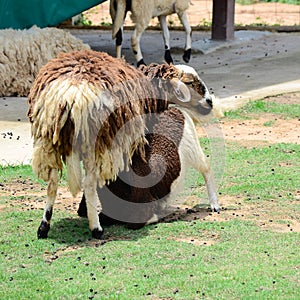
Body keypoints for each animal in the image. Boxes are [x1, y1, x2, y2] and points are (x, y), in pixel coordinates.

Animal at [27, 51, 218, 239]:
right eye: (190, 83)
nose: (210, 102)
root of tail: (71, 93)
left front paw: (83, 209)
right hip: (96, 141)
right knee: (89, 183)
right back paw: (96, 229)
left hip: (48, 139)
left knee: (52, 182)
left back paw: (44, 226)